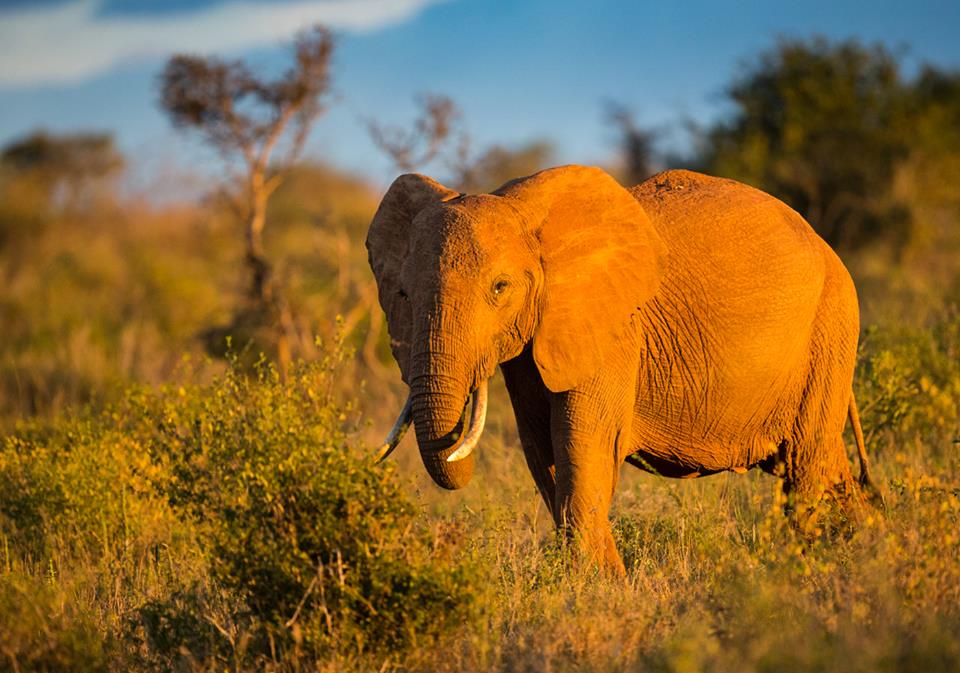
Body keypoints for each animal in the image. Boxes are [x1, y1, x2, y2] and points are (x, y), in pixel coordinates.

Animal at [366, 164, 876, 572]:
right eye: (403, 295)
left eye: (499, 288)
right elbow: (541, 449)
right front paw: (598, 579)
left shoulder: (614, 330)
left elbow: (581, 444)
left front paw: (598, 586)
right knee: (824, 465)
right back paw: (865, 550)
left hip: (830, 326)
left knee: (806, 468)